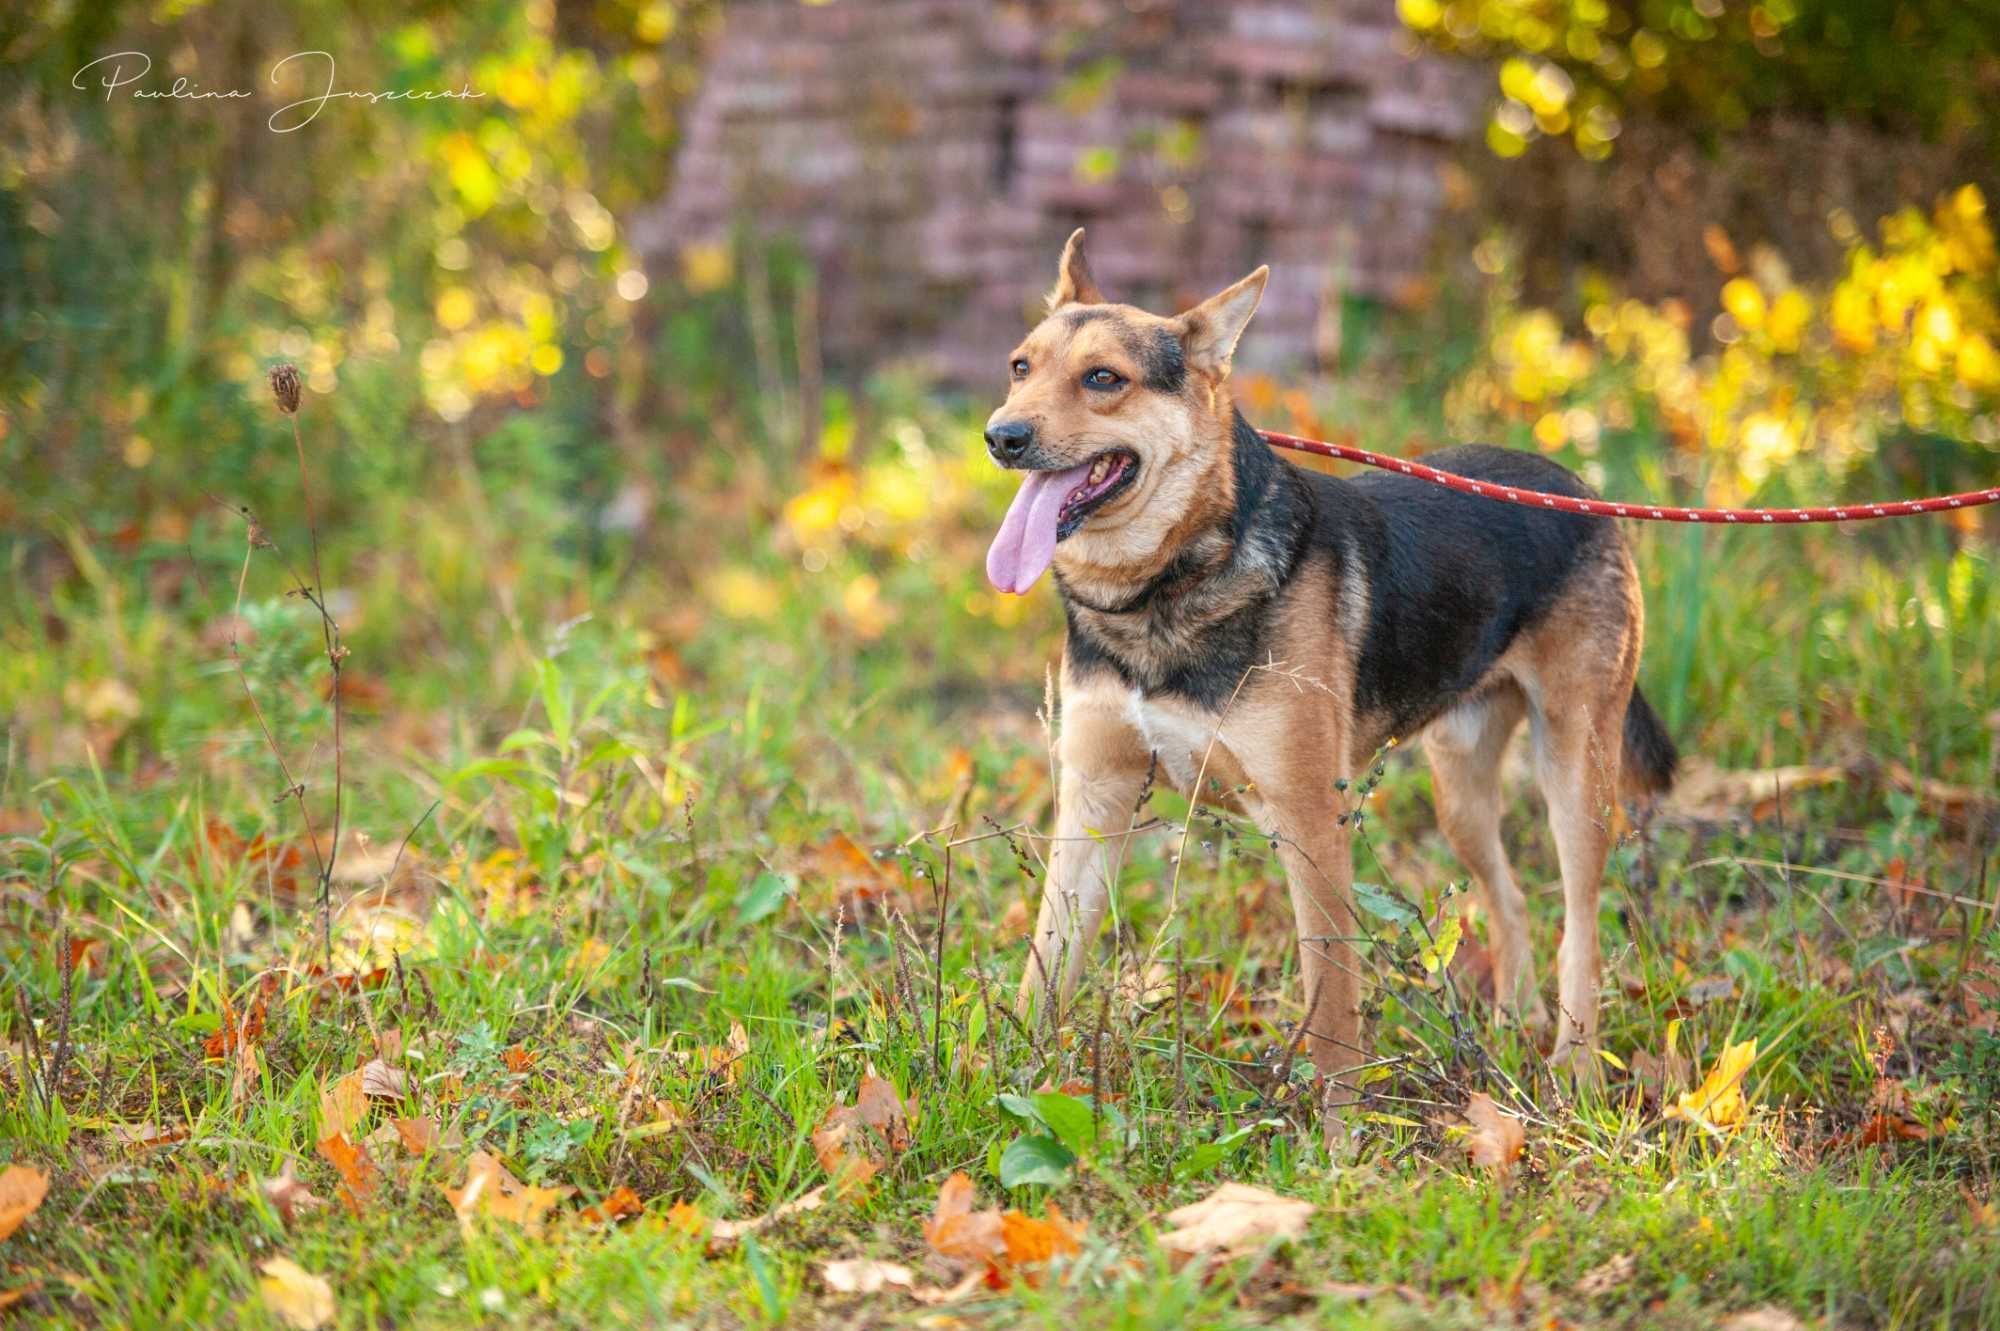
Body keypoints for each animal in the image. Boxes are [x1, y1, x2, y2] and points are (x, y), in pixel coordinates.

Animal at [984, 227, 1672, 1127]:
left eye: (1104, 378)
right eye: (1019, 367)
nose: (1001, 436)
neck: (1164, 588)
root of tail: (1578, 488)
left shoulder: (1311, 819)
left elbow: (1333, 1001)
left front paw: (1343, 1138)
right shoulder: (1093, 802)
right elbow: (1045, 964)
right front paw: (998, 1086)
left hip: (1576, 776)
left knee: (1581, 919)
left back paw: (1577, 1065)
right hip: (1458, 789)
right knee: (1512, 894)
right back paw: (1515, 1016)